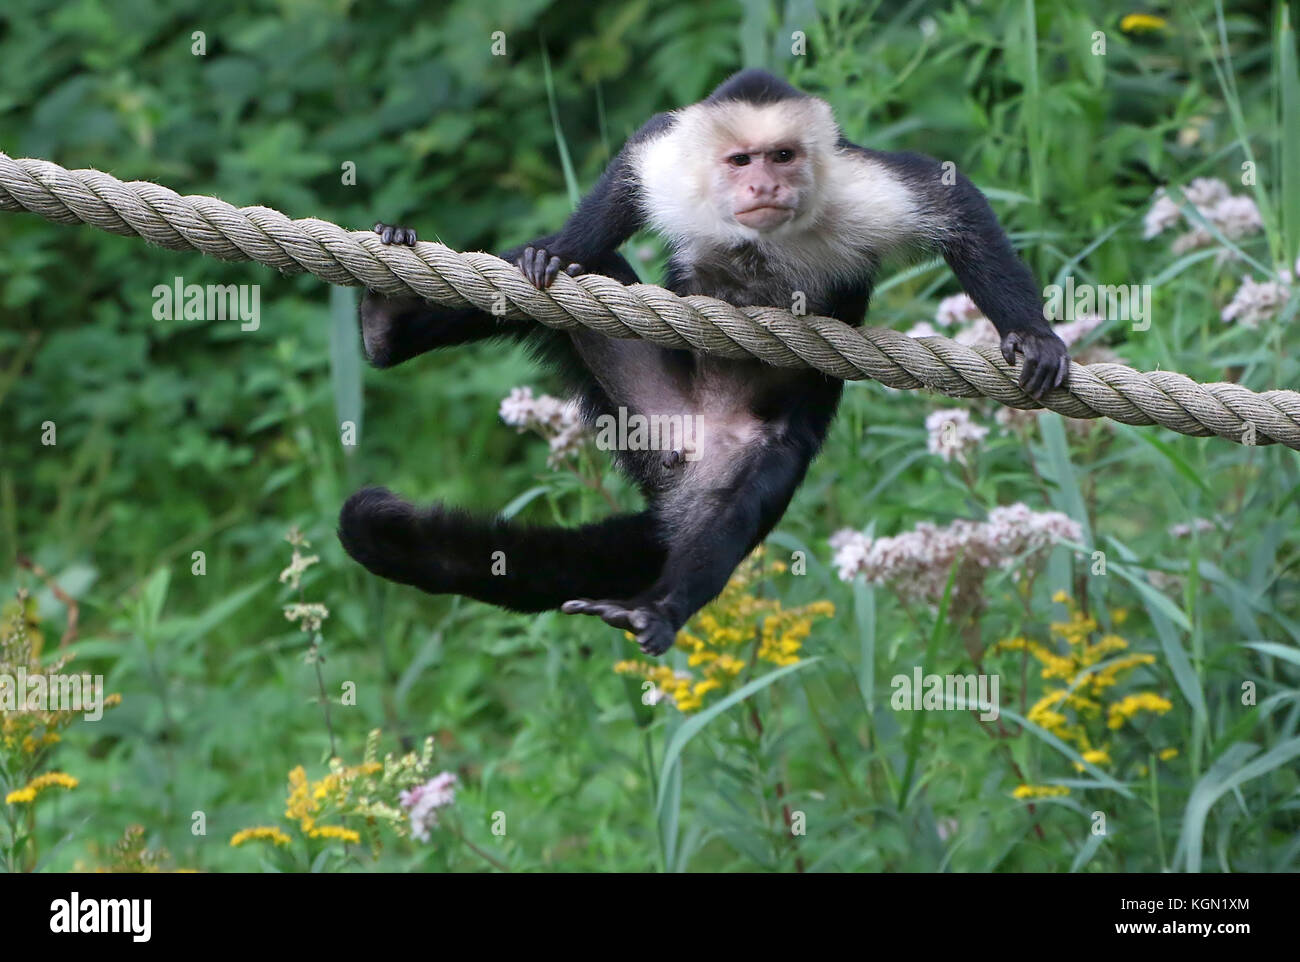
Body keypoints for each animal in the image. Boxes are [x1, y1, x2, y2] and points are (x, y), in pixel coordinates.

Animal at [340, 67, 1071, 652]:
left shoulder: (858, 189)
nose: (765, 184)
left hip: (724, 449)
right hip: (640, 409)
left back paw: (661, 609)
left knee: (741, 499)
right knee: (585, 278)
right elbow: (626, 177)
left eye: (783, 155)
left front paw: (1033, 335)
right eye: (741, 159)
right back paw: (387, 325)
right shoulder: (674, 170)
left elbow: (952, 200)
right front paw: (555, 251)